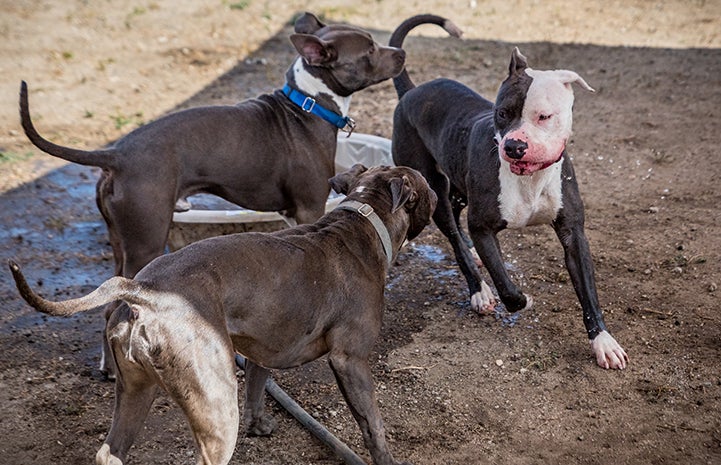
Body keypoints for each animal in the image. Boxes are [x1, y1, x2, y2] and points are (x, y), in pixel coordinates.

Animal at [8, 165, 436, 464]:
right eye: (428, 185)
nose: (439, 188)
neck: (363, 220)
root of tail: (143, 292)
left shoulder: (265, 343)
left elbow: (258, 385)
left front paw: (260, 425)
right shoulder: (351, 361)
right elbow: (373, 425)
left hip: (135, 390)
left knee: (109, 452)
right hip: (213, 404)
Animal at [19, 11, 414, 374]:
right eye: (369, 49)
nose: (401, 52)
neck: (308, 103)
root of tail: (116, 154)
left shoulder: (292, 214)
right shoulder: (310, 206)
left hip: (122, 241)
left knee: (106, 307)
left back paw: (108, 367)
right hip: (146, 241)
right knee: (117, 305)